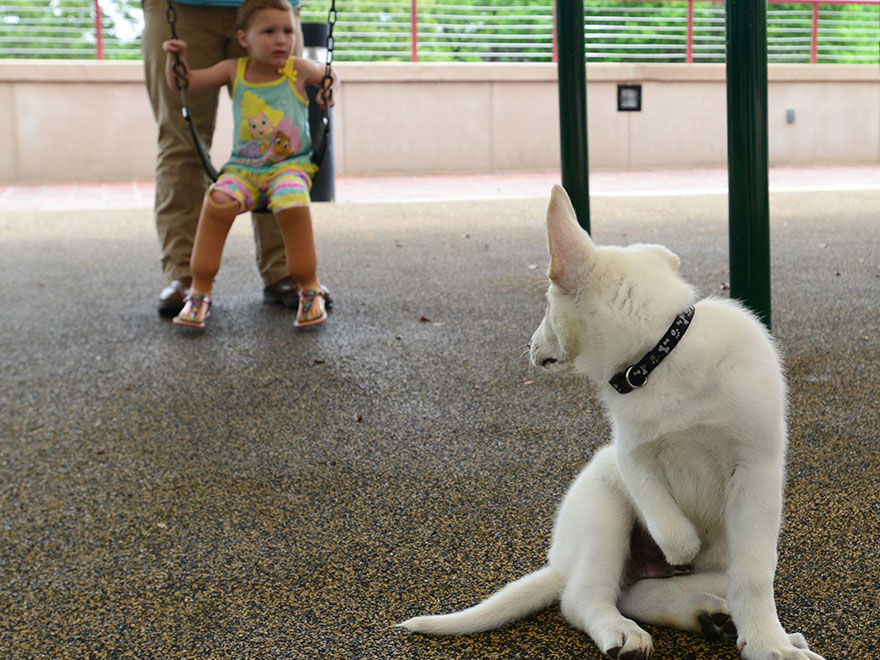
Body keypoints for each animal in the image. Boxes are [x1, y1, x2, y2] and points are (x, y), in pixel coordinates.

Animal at [398, 186, 824, 660]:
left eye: (546, 304)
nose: (528, 345)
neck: (659, 357)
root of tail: (560, 564)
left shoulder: (756, 472)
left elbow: (753, 575)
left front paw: (770, 643)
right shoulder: (629, 455)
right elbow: (663, 515)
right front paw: (682, 546)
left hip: (700, 555)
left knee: (641, 591)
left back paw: (713, 614)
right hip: (605, 512)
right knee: (585, 598)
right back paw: (624, 628)